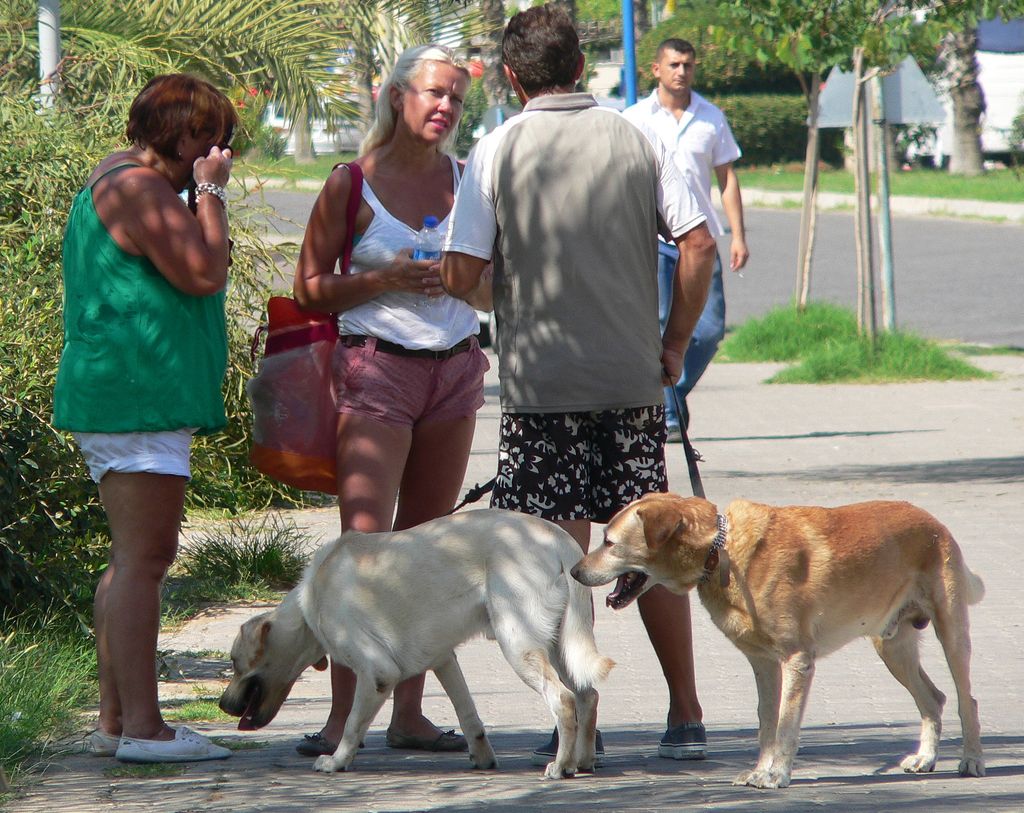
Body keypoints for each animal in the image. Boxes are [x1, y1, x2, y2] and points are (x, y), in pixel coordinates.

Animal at [219, 507, 610, 778]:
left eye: (235, 664)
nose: (222, 705)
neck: (311, 597)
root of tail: (557, 538)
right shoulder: (444, 661)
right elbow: (468, 715)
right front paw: (482, 758)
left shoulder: (377, 674)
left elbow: (352, 724)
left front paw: (337, 761)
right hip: (559, 646)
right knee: (588, 695)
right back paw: (583, 761)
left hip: (519, 644)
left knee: (563, 699)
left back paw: (561, 766)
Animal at [573, 491, 987, 790]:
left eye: (609, 542)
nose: (575, 572)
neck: (721, 554)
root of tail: (934, 522)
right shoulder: (763, 664)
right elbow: (766, 723)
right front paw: (760, 770)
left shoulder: (797, 660)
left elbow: (786, 724)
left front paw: (776, 775)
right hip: (892, 646)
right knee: (933, 698)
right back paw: (927, 758)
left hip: (952, 634)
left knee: (966, 700)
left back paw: (972, 760)